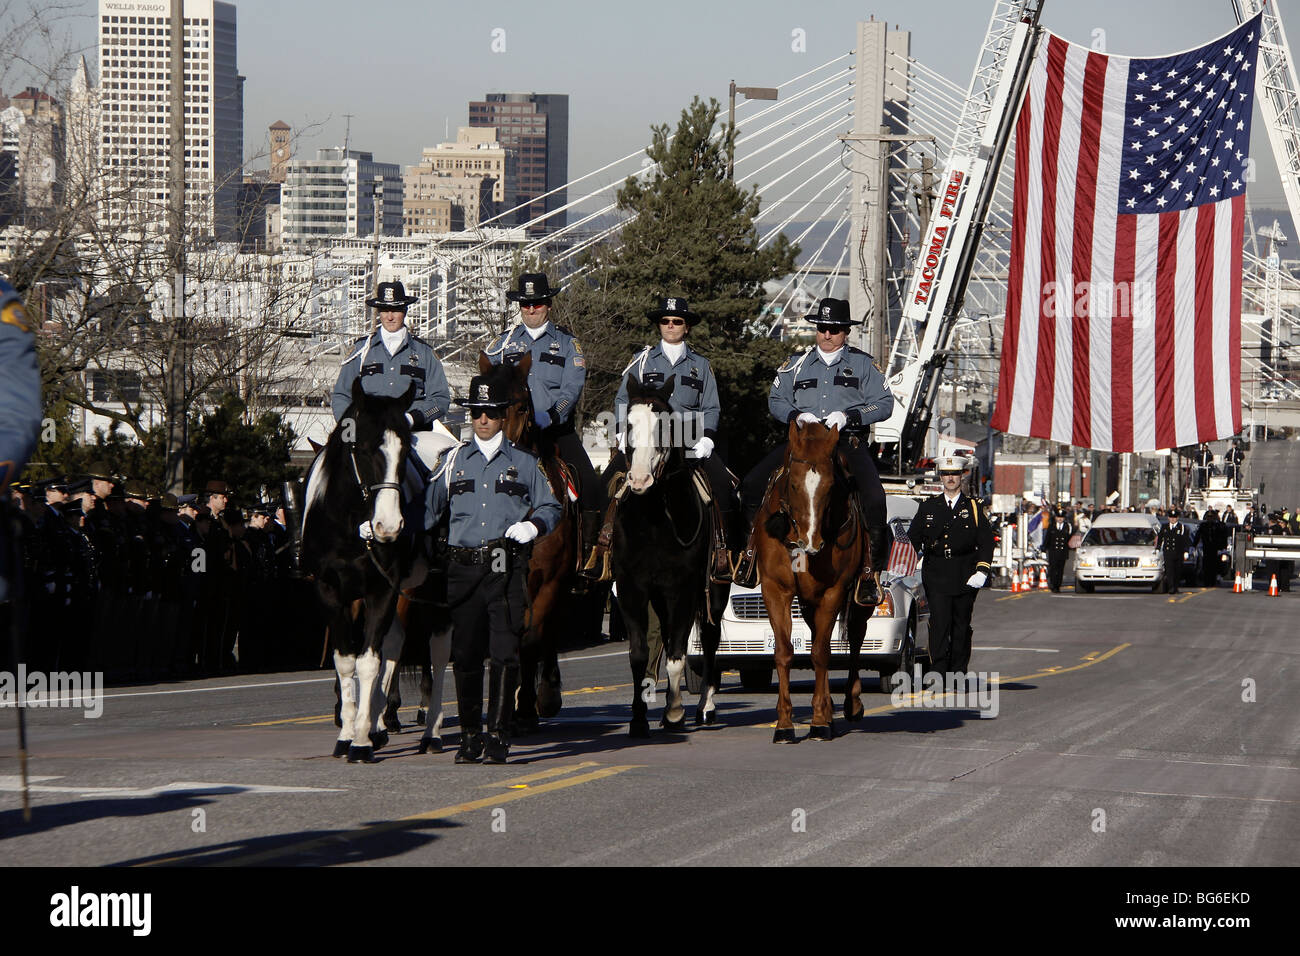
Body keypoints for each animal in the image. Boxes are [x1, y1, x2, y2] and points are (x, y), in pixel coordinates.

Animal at [304, 382, 452, 764]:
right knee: (397, 643)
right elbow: (346, 662)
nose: (389, 525)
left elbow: (369, 662)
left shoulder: (381, 591)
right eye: (363, 446)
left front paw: (360, 741)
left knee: (438, 650)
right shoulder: (330, 592)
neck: (347, 526)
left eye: (404, 449)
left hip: (434, 589)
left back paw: (431, 731)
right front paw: (349, 732)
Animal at [480, 351, 577, 733]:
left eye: (521, 407)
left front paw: (526, 707)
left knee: (547, 632)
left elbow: (533, 638)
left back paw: (547, 695)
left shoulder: (549, 580)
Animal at [613, 377, 728, 738]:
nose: (639, 479)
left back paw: (705, 707)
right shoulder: (632, 589)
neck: (654, 521)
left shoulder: (683, 589)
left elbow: (678, 655)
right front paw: (638, 719)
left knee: (710, 641)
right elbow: (639, 654)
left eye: (664, 427)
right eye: (627, 425)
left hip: (715, 592)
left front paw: (675, 713)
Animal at [754, 421, 873, 743]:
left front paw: (819, 721)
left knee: (856, 636)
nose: (811, 543)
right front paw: (784, 724)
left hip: (859, 599)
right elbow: (783, 652)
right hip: (807, 601)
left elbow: (821, 653)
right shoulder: (775, 590)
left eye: (830, 487)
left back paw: (850, 703)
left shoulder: (834, 591)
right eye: (794, 484)